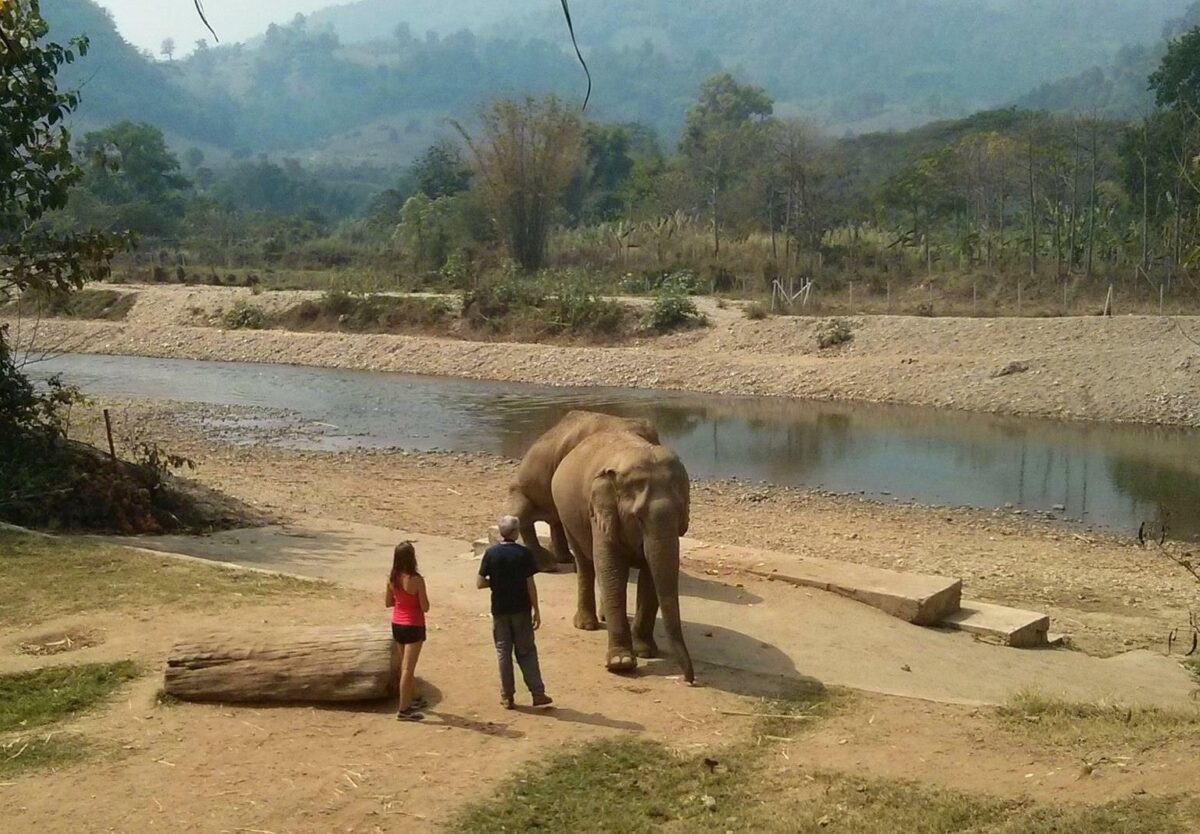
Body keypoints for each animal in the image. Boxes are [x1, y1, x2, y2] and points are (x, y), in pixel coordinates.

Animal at [551, 430, 694, 683]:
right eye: (637, 517)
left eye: (680, 513)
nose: (690, 679)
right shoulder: (600, 514)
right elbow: (611, 568)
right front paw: (621, 663)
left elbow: (650, 576)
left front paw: (645, 651)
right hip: (567, 515)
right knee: (585, 564)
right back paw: (587, 624)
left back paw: (603, 617)